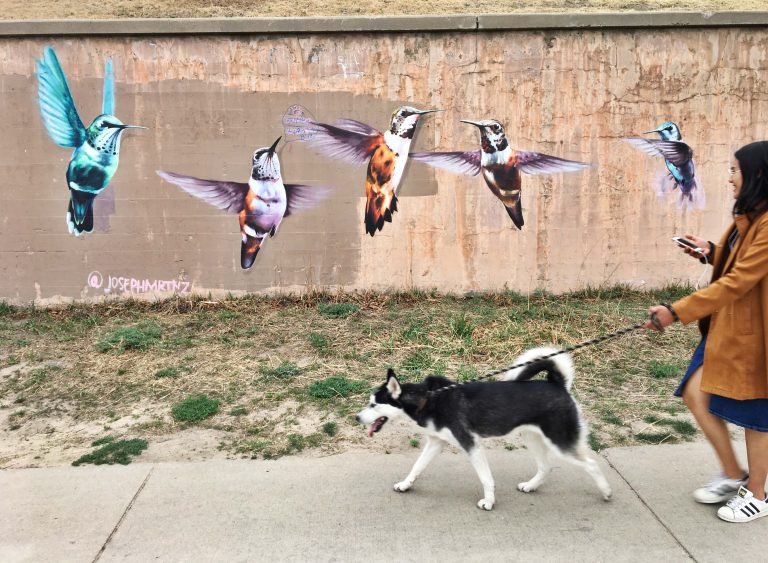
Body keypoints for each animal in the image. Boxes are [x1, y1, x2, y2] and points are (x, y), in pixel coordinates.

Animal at [354, 348, 612, 512]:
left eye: (374, 405)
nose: (356, 417)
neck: (428, 399)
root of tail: (557, 383)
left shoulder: (471, 445)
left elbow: (486, 478)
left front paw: (489, 502)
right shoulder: (436, 442)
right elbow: (417, 467)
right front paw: (405, 484)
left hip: (560, 442)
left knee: (591, 464)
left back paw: (606, 492)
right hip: (531, 437)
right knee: (546, 466)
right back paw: (531, 486)